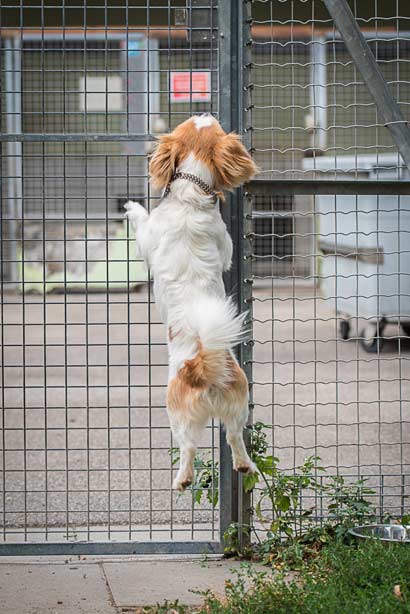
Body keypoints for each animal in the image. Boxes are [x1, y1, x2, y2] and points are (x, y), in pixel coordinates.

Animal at [124, 113, 258, 492]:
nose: (205, 112)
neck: (189, 196)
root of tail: (203, 361)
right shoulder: (225, 244)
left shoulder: (147, 238)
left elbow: (142, 224)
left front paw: (132, 208)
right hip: (239, 403)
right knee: (234, 436)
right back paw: (244, 465)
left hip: (176, 411)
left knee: (188, 447)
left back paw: (182, 479)